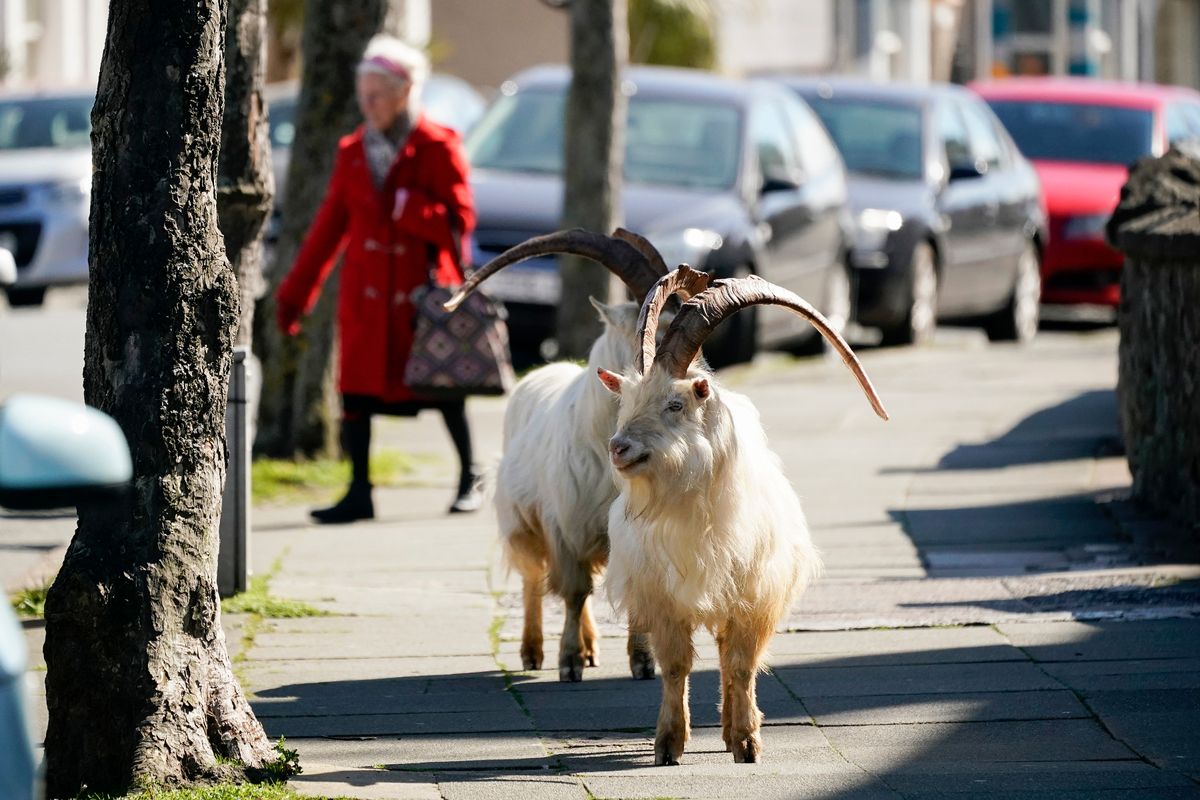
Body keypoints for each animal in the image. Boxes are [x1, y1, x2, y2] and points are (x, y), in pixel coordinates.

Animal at [445, 228, 690, 681]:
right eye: (654, 329)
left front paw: (643, 661)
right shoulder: (565, 522)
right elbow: (573, 591)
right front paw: (569, 661)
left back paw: (592, 648)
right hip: (521, 521)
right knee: (534, 579)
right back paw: (533, 650)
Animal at [595, 266, 889, 764]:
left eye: (676, 404)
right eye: (626, 402)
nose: (620, 448)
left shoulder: (755, 593)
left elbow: (741, 663)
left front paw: (748, 741)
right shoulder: (663, 598)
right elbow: (676, 665)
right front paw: (668, 743)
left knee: (729, 655)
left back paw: (733, 731)